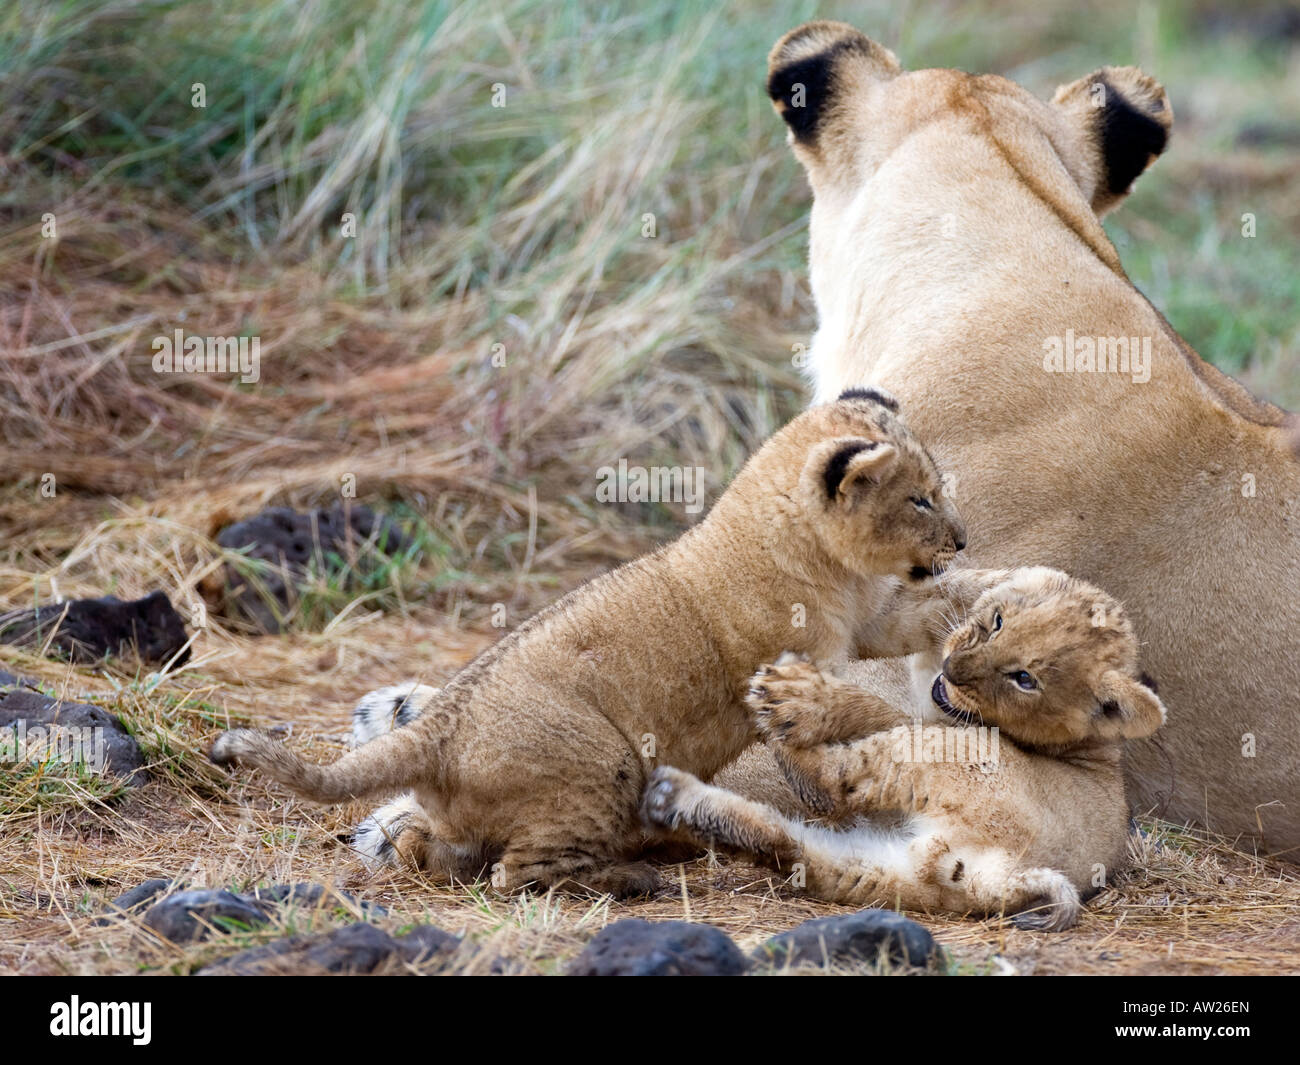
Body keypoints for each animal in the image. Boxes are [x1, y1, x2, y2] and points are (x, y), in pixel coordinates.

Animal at [210, 389, 966, 897]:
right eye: (920, 499)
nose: (962, 540)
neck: (830, 564)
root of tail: (439, 729)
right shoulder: (801, 655)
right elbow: (840, 711)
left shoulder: (866, 621)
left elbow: (912, 620)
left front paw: (971, 612)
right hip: (604, 761)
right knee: (517, 875)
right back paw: (636, 878)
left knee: (455, 856)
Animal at [643, 567, 1167, 930]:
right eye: (999, 622)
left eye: (1024, 679)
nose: (954, 669)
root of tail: (998, 875)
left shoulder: (939, 726)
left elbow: (873, 709)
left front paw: (804, 698)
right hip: (876, 869)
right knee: (786, 845)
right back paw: (673, 798)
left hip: (954, 758)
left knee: (830, 784)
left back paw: (778, 712)